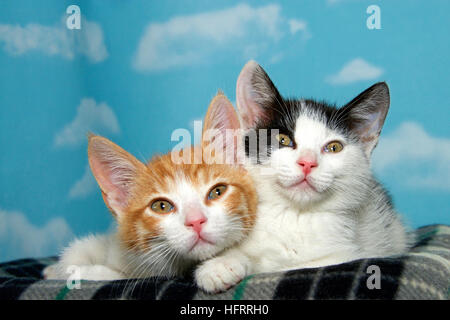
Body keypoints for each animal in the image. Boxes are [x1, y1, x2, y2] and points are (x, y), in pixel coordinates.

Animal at [44, 93, 256, 280]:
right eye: (161, 206)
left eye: (217, 191)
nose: (196, 221)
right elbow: (77, 257)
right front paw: (76, 271)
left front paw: (222, 265)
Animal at [195, 60, 414, 292]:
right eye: (283, 139)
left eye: (334, 147)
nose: (307, 163)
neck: (294, 215)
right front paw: (221, 264)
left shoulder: (346, 255)